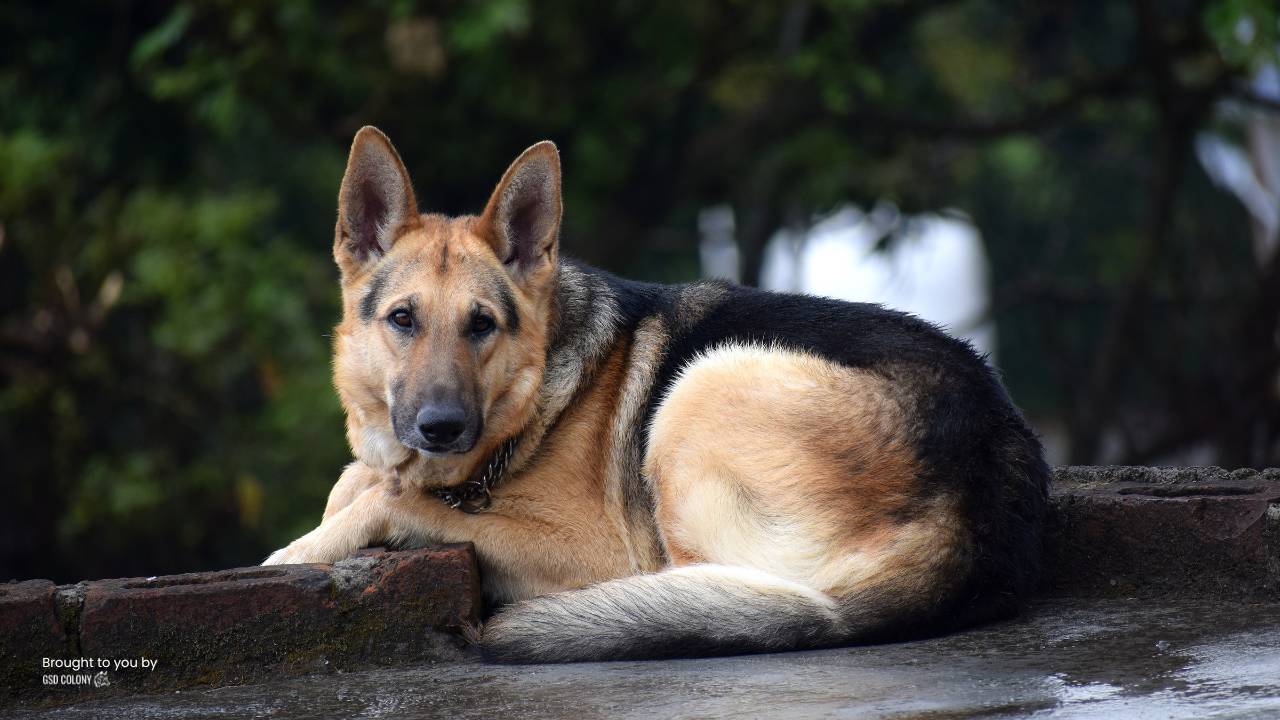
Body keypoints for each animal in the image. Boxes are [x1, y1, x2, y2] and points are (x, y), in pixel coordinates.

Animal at [262, 126, 1049, 661]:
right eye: (403, 319)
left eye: (481, 325)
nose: (441, 427)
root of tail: (977, 513)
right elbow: (361, 480)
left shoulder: (595, 550)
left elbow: (393, 499)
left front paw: (301, 550)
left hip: (704, 385)